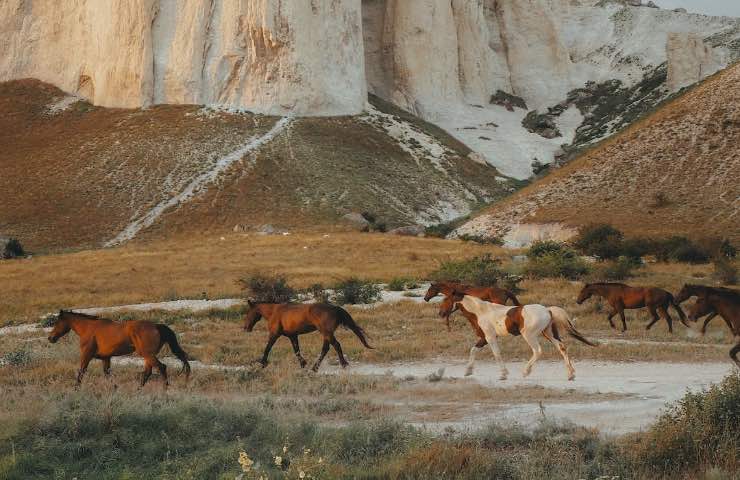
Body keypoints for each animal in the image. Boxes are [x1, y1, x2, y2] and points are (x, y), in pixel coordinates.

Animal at [47, 312, 191, 386]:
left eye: (57, 322)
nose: (50, 338)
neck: (88, 328)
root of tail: (156, 326)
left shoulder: (86, 355)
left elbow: (81, 372)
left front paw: (76, 389)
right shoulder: (105, 358)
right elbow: (107, 374)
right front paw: (114, 388)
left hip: (147, 354)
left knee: (161, 367)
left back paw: (164, 390)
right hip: (148, 356)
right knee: (147, 373)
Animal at [243, 302, 372, 374]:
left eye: (248, 312)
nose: (245, 328)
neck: (274, 312)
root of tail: (336, 308)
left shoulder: (274, 334)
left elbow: (268, 348)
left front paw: (262, 363)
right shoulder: (293, 336)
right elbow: (296, 350)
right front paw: (303, 364)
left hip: (326, 333)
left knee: (336, 346)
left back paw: (343, 364)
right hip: (326, 334)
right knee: (326, 349)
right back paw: (314, 368)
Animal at [436, 290, 600, 380]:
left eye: (446, 299)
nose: (441, 313)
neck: (481, 312)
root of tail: (548, 310)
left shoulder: (490, 337)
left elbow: (496, 354)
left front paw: (503, 374)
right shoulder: (484, 338)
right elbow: (473, 350)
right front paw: (468, 371)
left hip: (529, 336)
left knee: (537, 351)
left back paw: (526, 372)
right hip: (548, 333)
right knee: (562, 347)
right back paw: (571, 374)